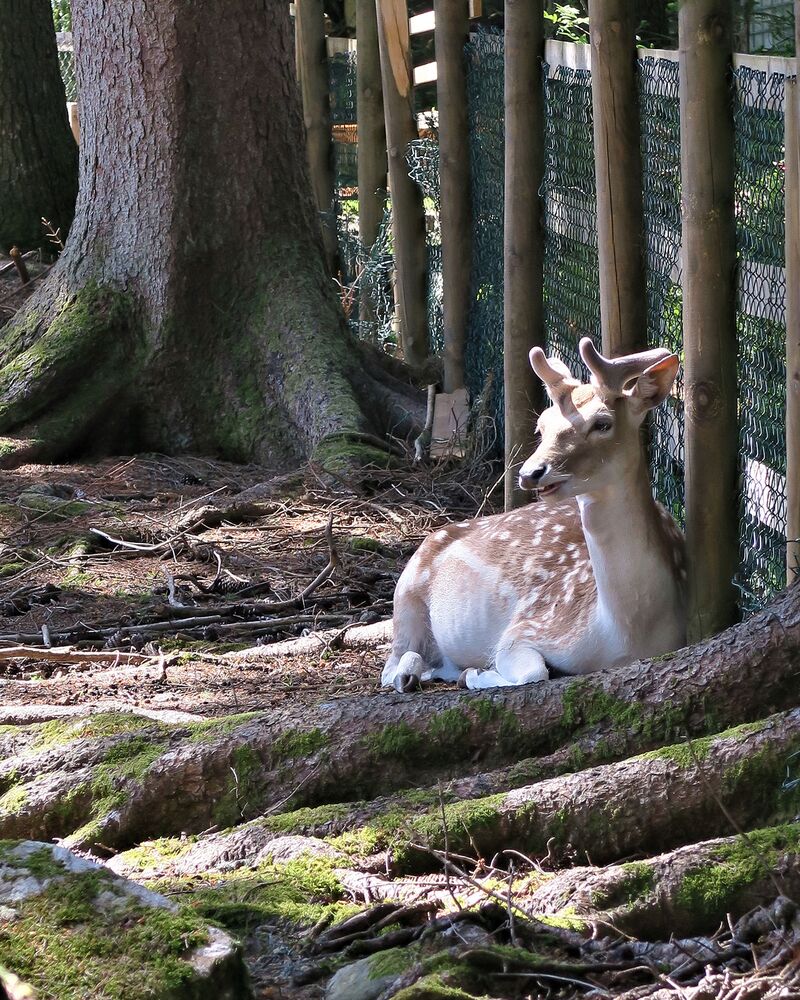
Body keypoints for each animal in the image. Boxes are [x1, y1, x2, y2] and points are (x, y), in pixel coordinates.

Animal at [382, 340, 688, 692]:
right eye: (541, 426)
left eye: (602, 423)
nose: (530, 473)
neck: (624, 634)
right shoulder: (527, 627)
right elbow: (534, 672)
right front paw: (477, 675)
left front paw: (472, 673)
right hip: (405, 595)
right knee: (393, 664)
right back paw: (412, 673)